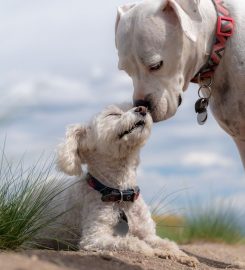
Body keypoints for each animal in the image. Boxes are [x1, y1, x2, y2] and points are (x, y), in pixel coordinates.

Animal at [51, 103, 197, 266]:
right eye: (113, 114)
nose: (142, 108)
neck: (122, 194)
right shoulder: (94, 238)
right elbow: (131, 242)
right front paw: (151, 250)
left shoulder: (148, 234)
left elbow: (167, 243)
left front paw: (182, 256)